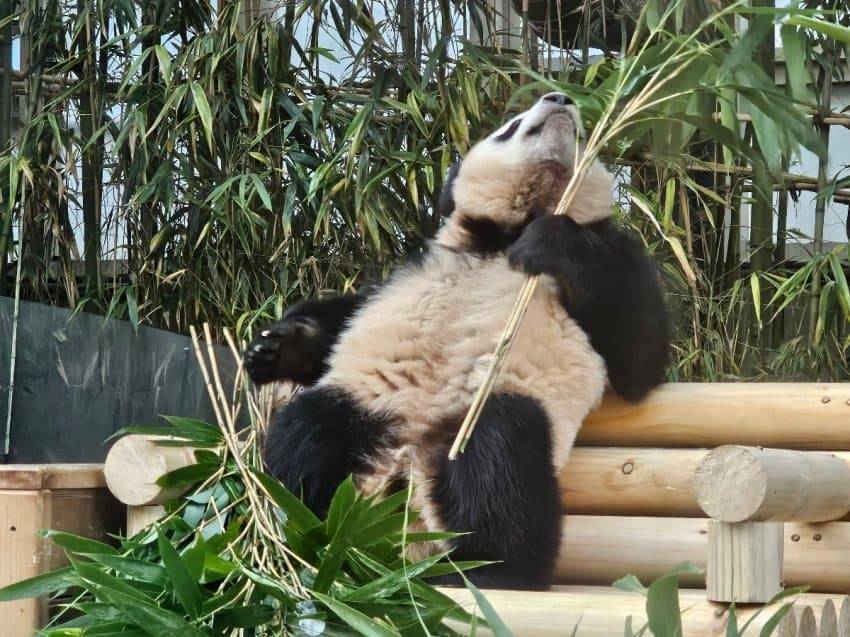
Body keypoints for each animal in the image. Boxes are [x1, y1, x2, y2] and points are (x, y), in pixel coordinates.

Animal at [242, 92, 664, 588]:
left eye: (583, 133)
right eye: (510, 127)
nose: (559, 98)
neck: (507, 234)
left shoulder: (616, 259)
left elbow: (640, 359)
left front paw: (554, 242)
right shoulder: (415, 268)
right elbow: (346, 317)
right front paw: (275, 347)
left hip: (483, 413)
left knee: (501, 458)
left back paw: (494, 569)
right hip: (369, 403)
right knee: (309, 433)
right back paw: (311, 532)